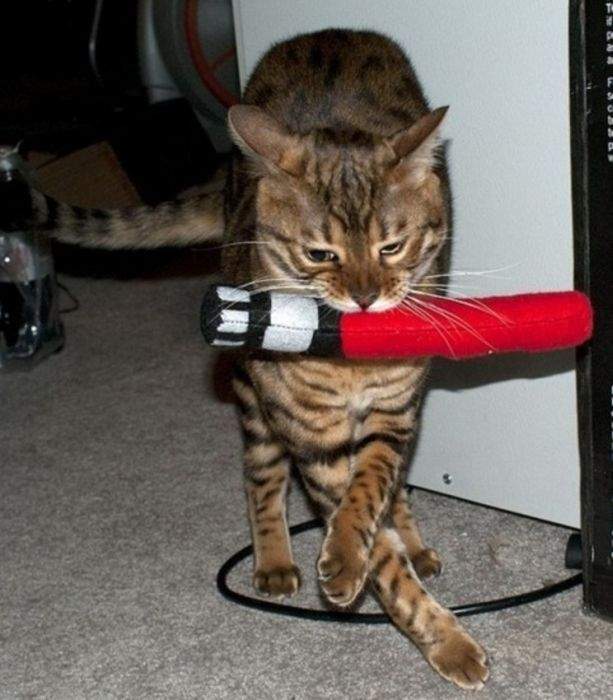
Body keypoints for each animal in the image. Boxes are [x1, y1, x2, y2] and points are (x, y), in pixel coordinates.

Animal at [16, 29, 488, 690]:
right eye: (320, 254)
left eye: (391, 247)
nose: (366, 296)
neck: (351, 362)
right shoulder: (313, 436)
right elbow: (375, 551)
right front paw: (423, 623)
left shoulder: (393, 412)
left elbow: (373, 490)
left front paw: (381, 560)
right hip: (253, 395)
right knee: (259, 478)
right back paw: (274, 558)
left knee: (392, 484)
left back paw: (411, 538)